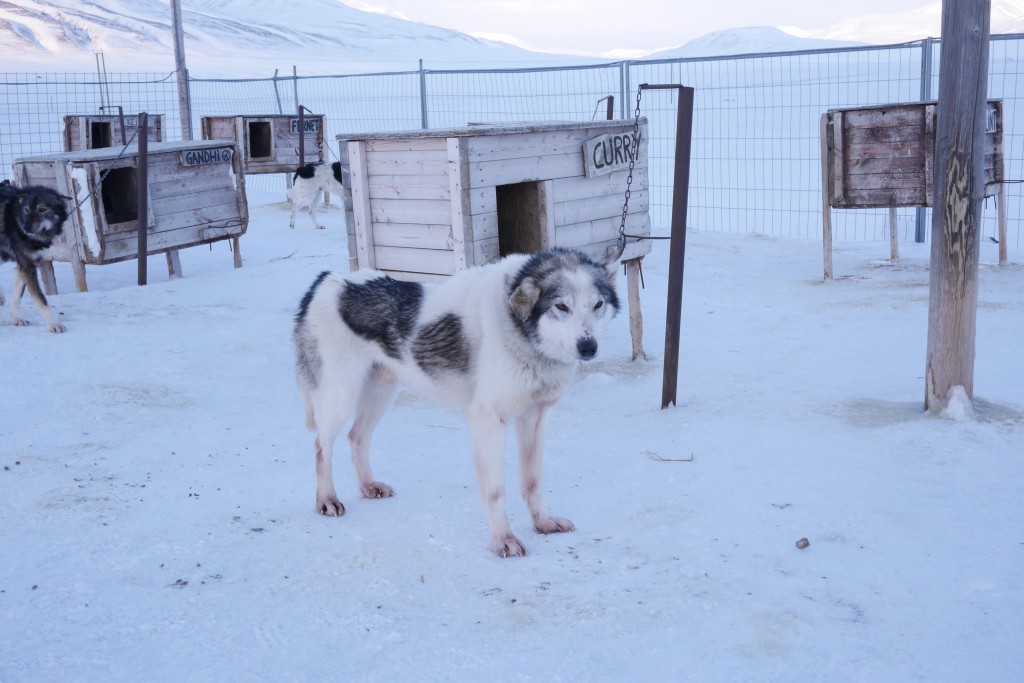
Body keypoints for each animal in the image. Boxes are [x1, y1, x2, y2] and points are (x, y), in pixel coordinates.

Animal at [292, 248, 618, 557]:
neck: (517, 325)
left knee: (357, 437)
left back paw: (369, 486)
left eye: (598, 305)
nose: (588, 347)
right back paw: (327, 499)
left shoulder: (533, 418)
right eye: (561, 306)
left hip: (381, 393)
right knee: (322, 447)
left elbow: (533, 481)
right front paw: (503, 540)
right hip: (339, 397)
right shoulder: (488, 421)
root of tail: (325, 280)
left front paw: (543, 523)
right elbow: (496, 492)